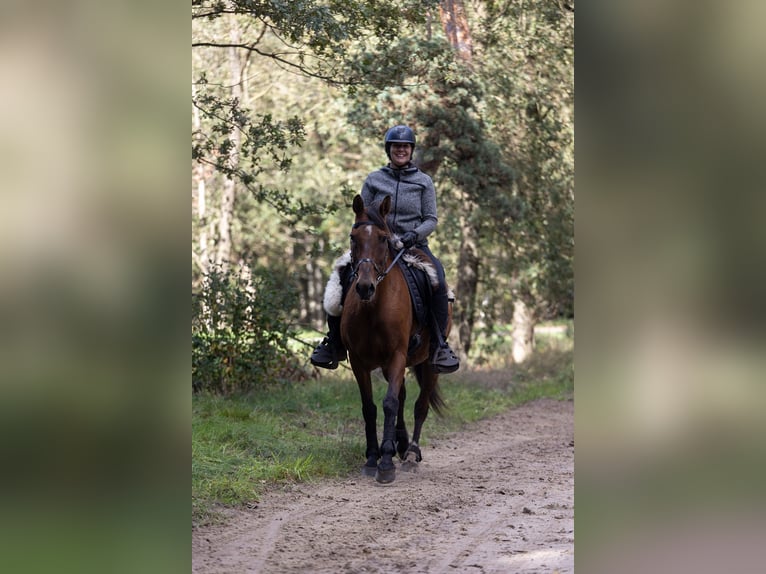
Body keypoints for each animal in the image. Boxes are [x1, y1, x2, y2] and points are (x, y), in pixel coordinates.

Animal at [340, 195, 450, 486]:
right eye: (353, 237)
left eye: (382, 238)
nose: (364, 286)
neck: (373, 308)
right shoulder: (358, 361)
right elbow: (370, 407)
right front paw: (372, 457)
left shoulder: (397, 355)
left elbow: (389, 404)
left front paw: (386, 463)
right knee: (401, 397)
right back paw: (400, 445)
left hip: (429, 363)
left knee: (420, 405)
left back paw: (410, 453)